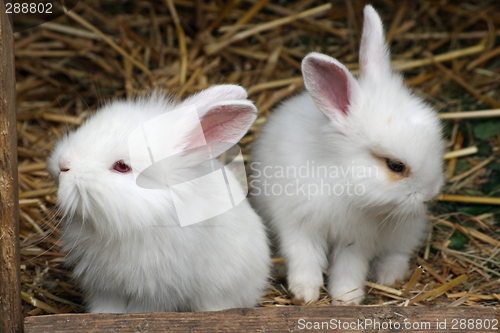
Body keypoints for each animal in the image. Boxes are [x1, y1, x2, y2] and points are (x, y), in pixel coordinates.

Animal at [252, 5, 444, 306]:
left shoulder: (357, 238)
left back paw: (388, 276)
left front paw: (346, 299)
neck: (342, 177)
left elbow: (349, 267)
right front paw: (304, 294)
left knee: (398, 252)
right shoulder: (299, 225)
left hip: (406, 229)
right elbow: (304, 258)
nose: (430, 194)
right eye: (395, 166)